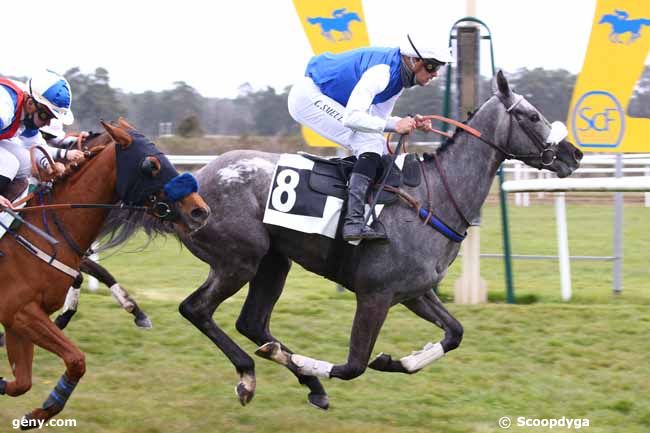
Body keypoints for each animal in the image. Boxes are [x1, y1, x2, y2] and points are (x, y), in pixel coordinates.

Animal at [0, 117, 209, 426]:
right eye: (151, 165)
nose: (200, 211)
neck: (43, 230)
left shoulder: (18, 318)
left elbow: (22, 383)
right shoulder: (21, 311)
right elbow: (76, 359)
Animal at [102, 71, 584, 408]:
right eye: (532, 115)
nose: (574, 154)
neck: (435, 197)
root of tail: (190, 184)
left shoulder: (414, 292)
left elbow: (455, 333)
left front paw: (399, 360)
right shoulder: (375, 295)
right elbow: (353, 366)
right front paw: (317, 362)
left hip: (274, 262)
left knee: (252, 322)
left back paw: (305, 381)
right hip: (239, 260)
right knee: (197, 309)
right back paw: (251, 373)